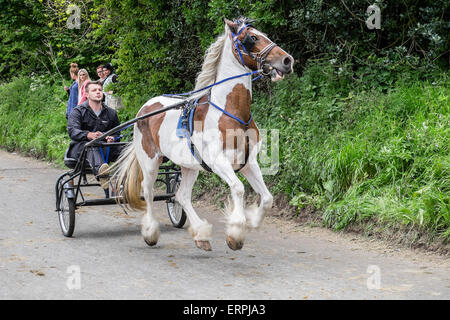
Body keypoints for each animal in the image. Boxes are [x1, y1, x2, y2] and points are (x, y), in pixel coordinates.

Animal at [114, 17, 294, 251]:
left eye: (264, 34)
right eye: (252, 38)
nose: (287, 60)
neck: (232, 112)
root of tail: (145, 107)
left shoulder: (249, 162)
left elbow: (267, 198)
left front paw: (251, 220)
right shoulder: (219, 161)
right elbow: (238, 188)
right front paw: (236, 232)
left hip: (189, 166)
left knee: (181, 195)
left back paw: (201, 234)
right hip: (150, 162)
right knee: (148, 191)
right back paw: (151, 232)